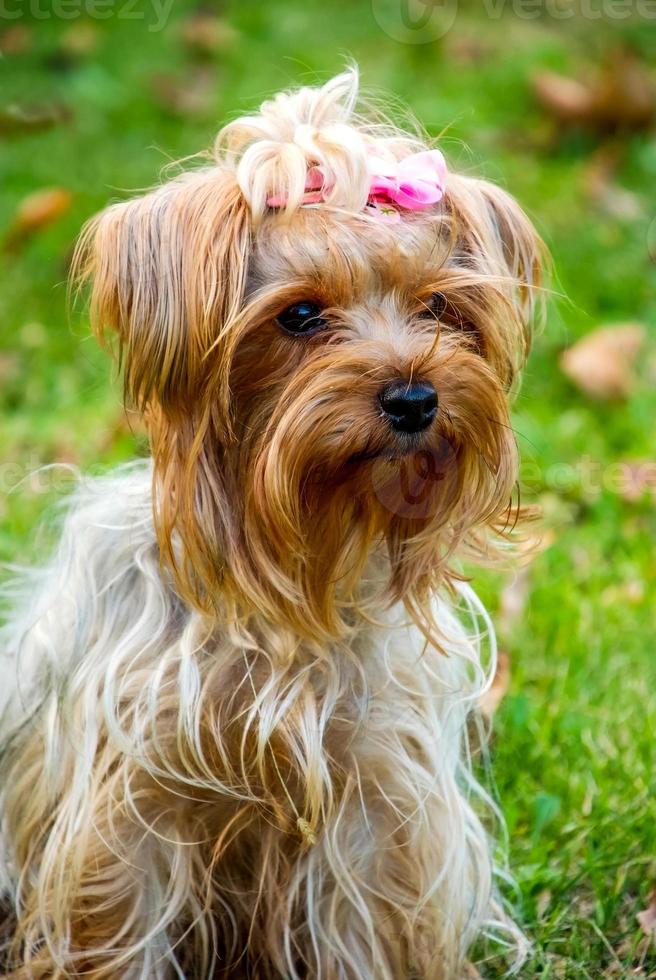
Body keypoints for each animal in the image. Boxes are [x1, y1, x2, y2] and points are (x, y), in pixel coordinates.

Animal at [0, 71, 544, 980]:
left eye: (438, 304)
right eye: (298, 316)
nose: (414, 397)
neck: (289, 570)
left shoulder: (370, 798)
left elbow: (360, 925)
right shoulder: (130, 800)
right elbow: (118, 916)